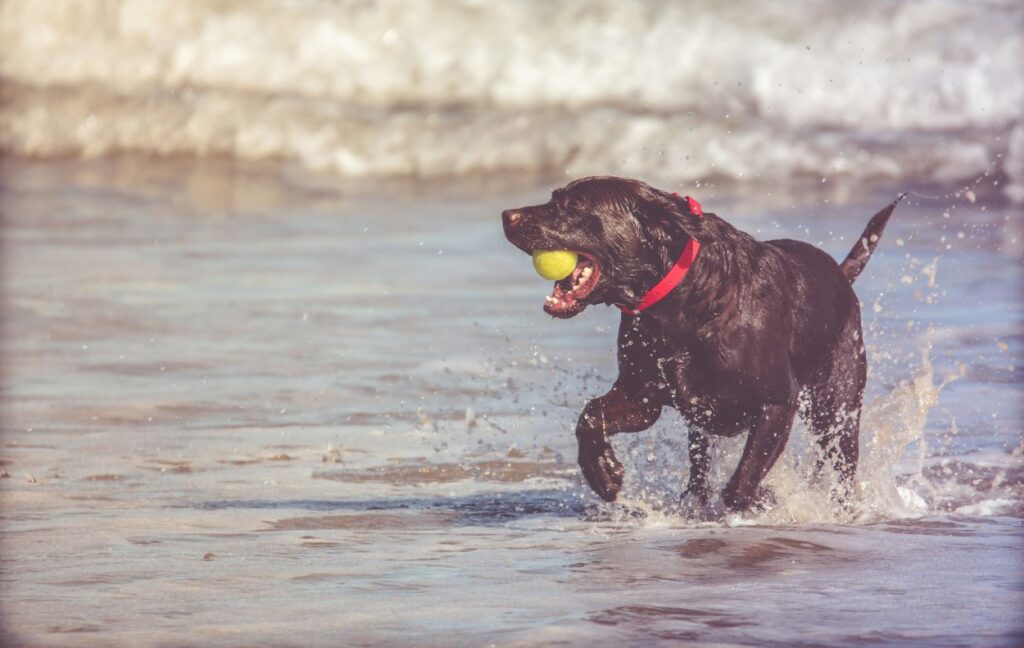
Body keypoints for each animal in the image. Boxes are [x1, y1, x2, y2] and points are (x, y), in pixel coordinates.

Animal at [499, 176, 901, 509]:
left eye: (574, 206)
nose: (506, 215)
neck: (681, 301)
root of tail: (841, 275)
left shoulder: (776, 403)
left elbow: (741, 483)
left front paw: (765, 498)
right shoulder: (642, 395)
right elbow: (590, 415)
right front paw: (602, 471)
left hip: (836, 407)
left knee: (841, 464)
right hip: (702, 427)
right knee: (698, 465)